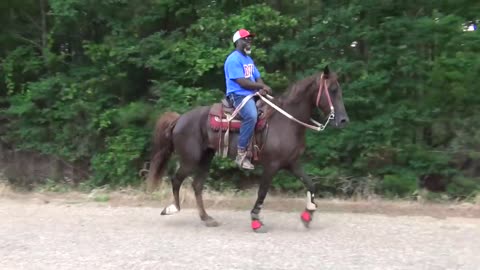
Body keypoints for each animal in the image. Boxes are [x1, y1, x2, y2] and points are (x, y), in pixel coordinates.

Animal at [146, 66, 348, 232]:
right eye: (332, 90)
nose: (343, 120)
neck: (286, 121)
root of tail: (179, 119)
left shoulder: (292, 163)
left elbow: (310, 184)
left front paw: (307, 215)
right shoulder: (272, 165)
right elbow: (262, 192)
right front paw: (256, 221)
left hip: (205, 158)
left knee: (197, 185)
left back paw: (207, 218)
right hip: (190, 159)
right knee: (176, 179)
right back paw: (173, 208)